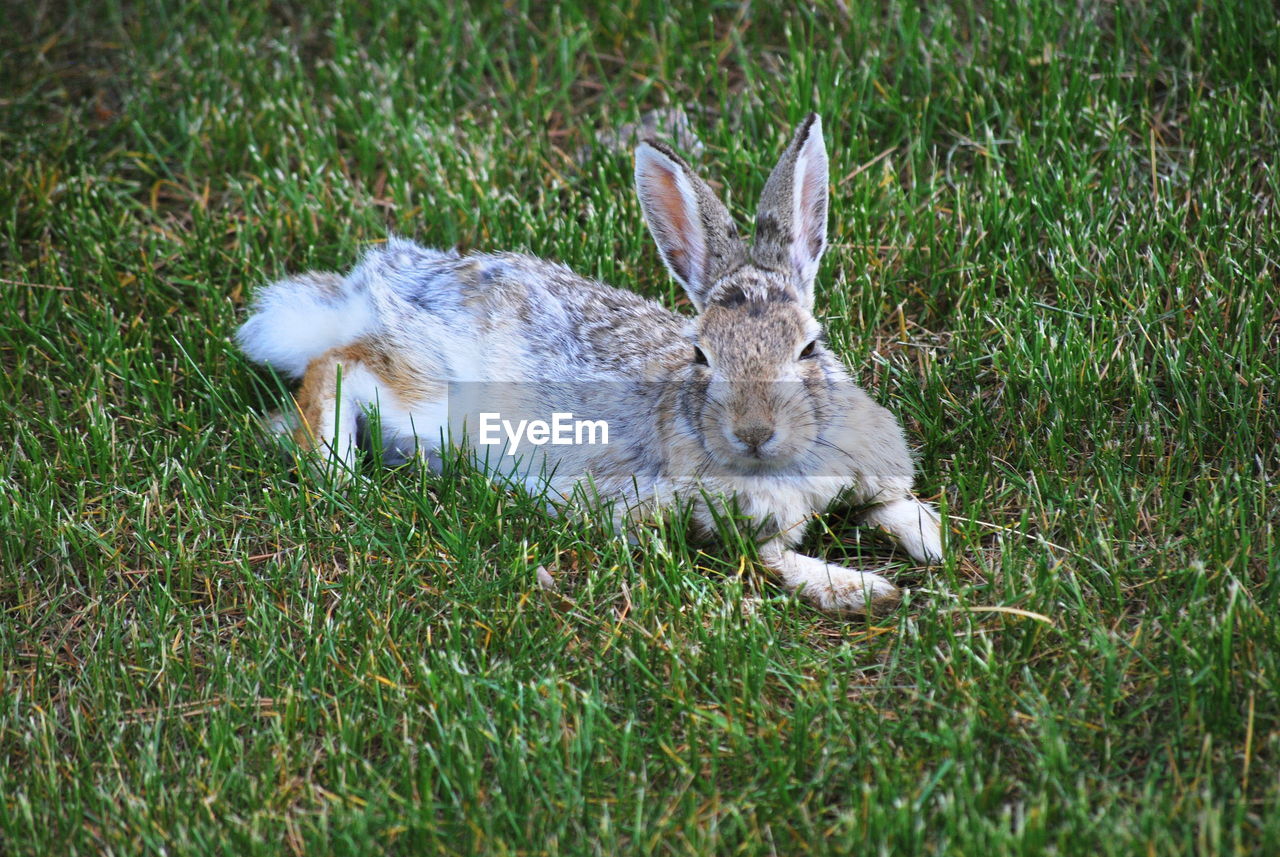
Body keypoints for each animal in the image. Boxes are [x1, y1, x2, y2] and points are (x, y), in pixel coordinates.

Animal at [238, 113, 942, 613]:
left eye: (810, 347)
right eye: (702, 355)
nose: (754, 432)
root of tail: (376, 284)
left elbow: (895, 507)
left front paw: (929, 542)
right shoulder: (722, 521)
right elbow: (773, 561)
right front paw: (863, 590)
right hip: (433, 396)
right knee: (336, 367)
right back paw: (338, 470)